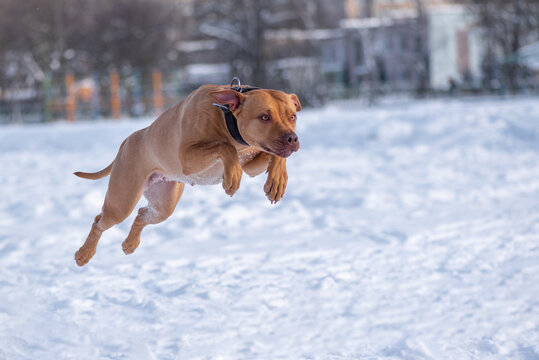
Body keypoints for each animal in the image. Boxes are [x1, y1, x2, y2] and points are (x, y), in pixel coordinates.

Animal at [73, 83, 302, 266]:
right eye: (265, 116)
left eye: (292, 116)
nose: (292, 138)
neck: (227, 119)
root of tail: (127, 141)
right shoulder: (187, 158)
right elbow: (224, 146)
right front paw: (232, 176)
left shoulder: (252, 163)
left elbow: (276, 157)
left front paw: (277, 181)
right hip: (122, 201)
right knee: (99, 221)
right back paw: (84, 253)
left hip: (163, 204)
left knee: (141, 215)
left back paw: (130, 243)